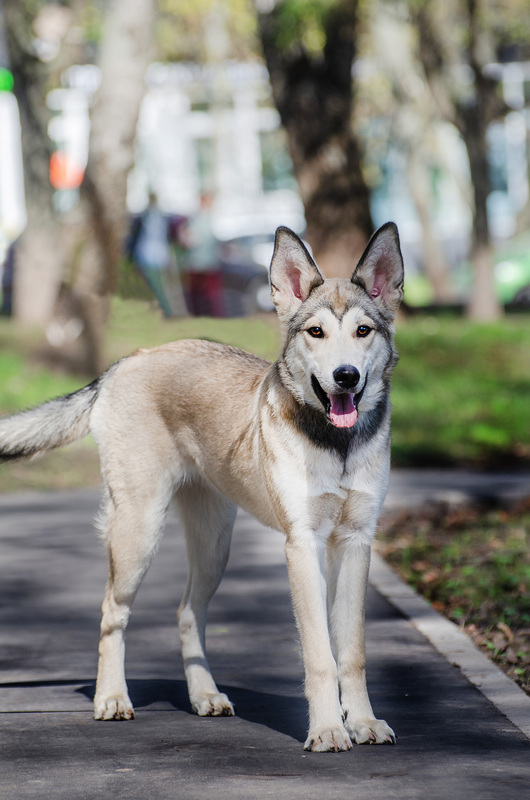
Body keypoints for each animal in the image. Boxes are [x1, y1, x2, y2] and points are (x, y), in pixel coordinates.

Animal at [1, 222, 404, 752]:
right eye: (315, 332)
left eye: (363, 331)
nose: (346, 377)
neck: (335, 444)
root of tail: (129, 360)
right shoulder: (302, 546)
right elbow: (320, 654)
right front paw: (327, 729)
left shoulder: (355, 543)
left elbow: (351, 652)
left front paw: (362, 722)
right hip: (138, 531)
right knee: (112, 612)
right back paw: (111, 698)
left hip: (214, 546)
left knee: (186, 611)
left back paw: (204, 695)